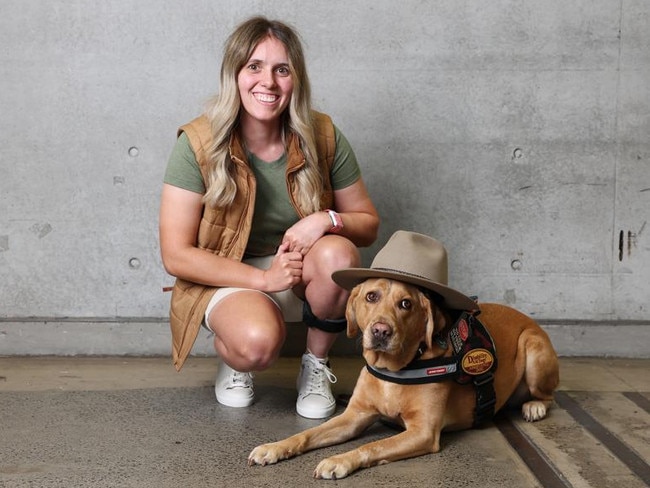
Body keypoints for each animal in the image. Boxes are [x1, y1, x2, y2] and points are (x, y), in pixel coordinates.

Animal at [248, 233, 556, 480]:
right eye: (371, 297)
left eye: (406, 304)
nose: (381, 331)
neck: (395, 370)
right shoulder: (353, 416)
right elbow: (307, 434)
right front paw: (275, 447)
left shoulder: (422, 432)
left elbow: (373, 445)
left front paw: (339, 460)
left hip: (533, 349)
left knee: (547, 396)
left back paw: (534, 407)